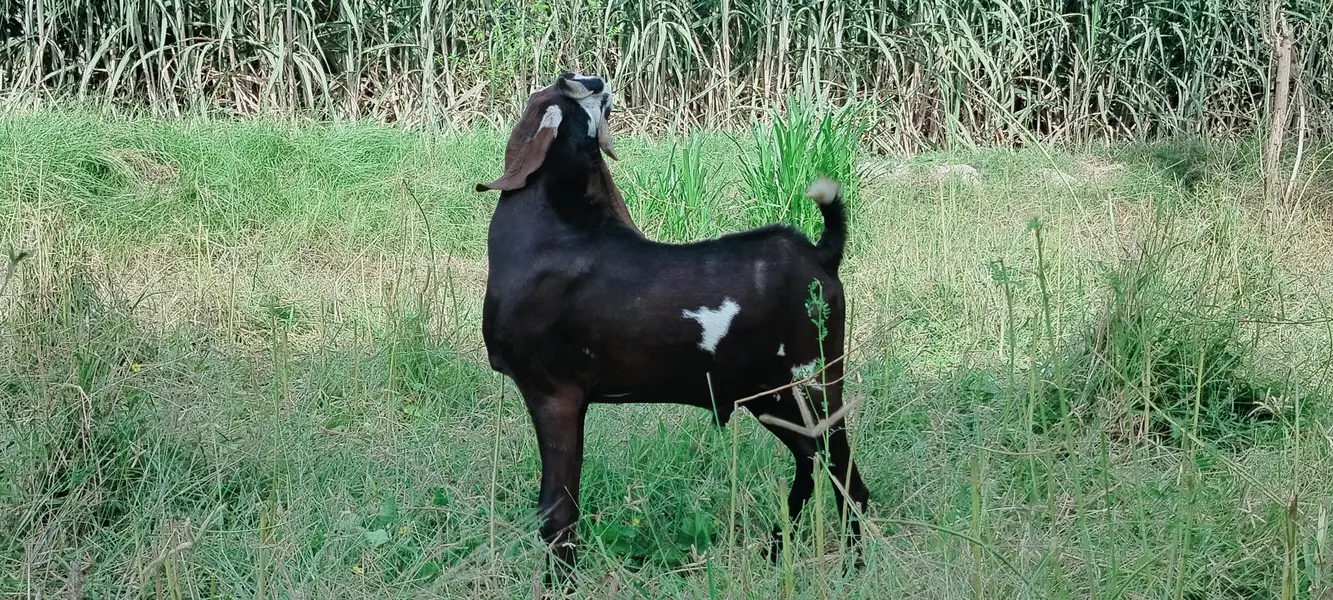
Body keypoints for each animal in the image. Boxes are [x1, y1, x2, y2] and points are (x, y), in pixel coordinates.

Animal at [475, 72, 870, 581]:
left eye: (570, 91)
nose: (589, 77)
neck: (556, 234)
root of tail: (821, 254)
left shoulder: (553, 394)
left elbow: (556, 510)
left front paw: (560, 583)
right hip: (772, 396)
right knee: (810, 460)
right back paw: (775, 551)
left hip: (812, 382)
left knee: (845, 477)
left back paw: (853, 569)